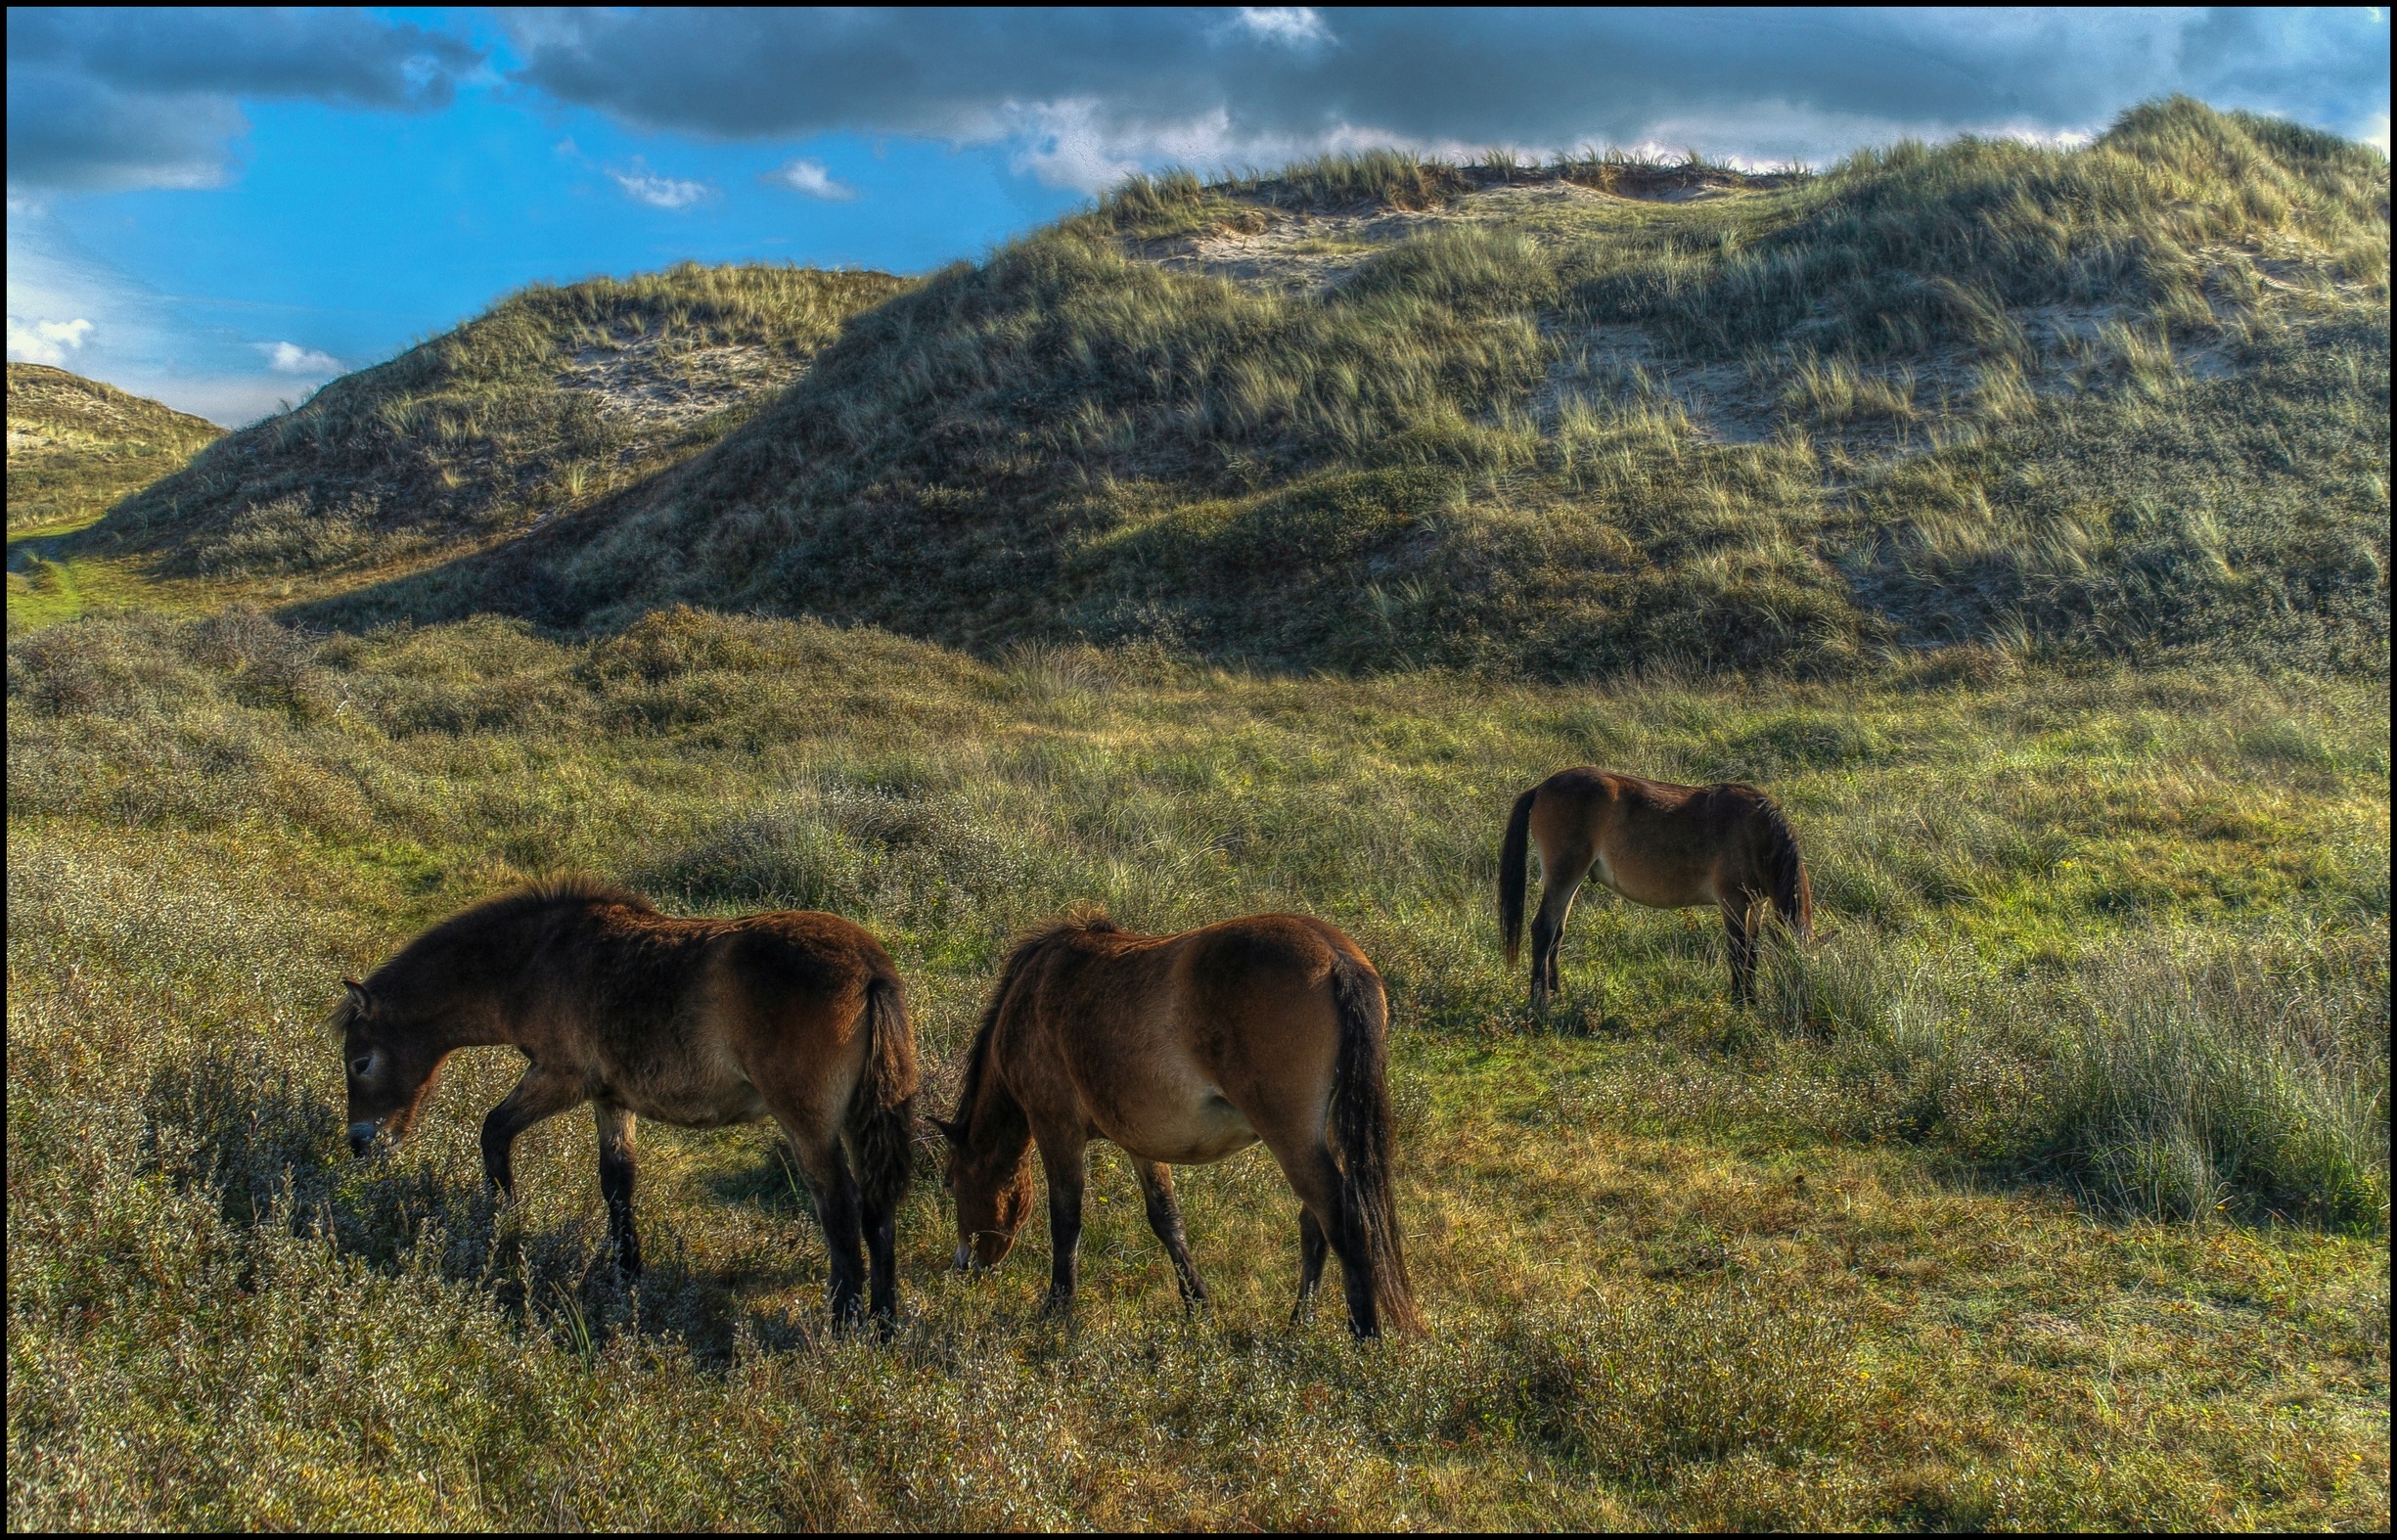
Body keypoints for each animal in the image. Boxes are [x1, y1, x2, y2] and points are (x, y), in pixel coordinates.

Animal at [332, 878, 919, 1329]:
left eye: (361, 1061)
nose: (361, 1144)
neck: (539, 959)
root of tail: (871, 971)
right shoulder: (610, 1098)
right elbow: (617, 1181)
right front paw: (626, 1270)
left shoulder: (560, 1078)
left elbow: (494, 1131)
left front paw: (504, 1226)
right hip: (857, 1119)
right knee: (877, 1207)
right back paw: (884, 1324)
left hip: (808, 1125)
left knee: (840, 1206)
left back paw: (843, 1324)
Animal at [934, 906, 1422, 1338]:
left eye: (952, 1182)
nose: (963, 1266)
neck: (1033, 996)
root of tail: (1335, 957)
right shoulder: (1141, 1142)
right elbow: (1166, 1219)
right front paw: (1198, 1306)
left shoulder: (1057, 1129)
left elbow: (1066, 1220)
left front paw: (1056, 1309)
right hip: (1326, 1134)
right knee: (1315, 1224)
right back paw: (1299, 1326)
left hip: (1292, 1137)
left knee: (1342, 1219)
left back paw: (1364, 1336)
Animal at [1499, 768, 1813, 1008]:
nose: (1803, 1004)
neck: (1755, 832)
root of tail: (1542, 787)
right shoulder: (1733, 903)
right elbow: (1738, 954)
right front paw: (1740, 1004)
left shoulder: (1756, 906)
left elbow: (1752, 955)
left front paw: (1750, 1001)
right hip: (1563, 876)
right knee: (1543, 929)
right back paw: (1540, 1000)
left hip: (1571, 881)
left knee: (1556, 932)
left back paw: (1556, 992)